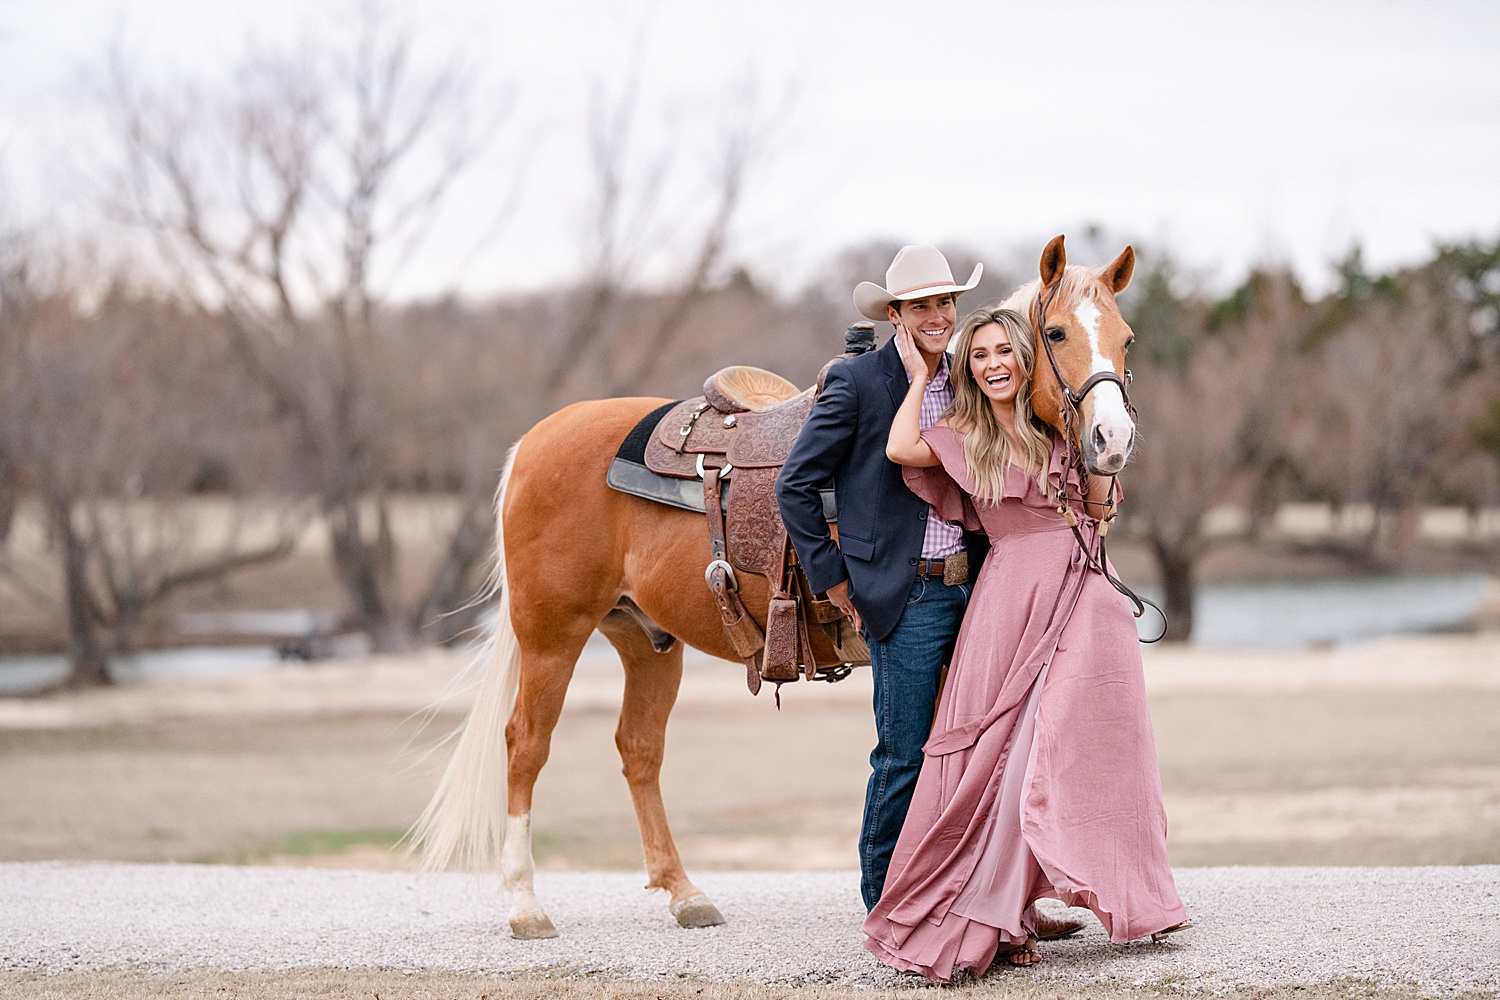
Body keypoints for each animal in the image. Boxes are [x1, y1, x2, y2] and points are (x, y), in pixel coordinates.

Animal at [411, 232, 1134, 941]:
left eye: (1126, 338)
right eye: (1058, 333)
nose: (1113, 439)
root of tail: (536, 439)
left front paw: (1020, 915)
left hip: (647, 641)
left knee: (639, 750)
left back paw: (685, 893)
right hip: (552, 634)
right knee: (525, 744)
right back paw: (525, 904)